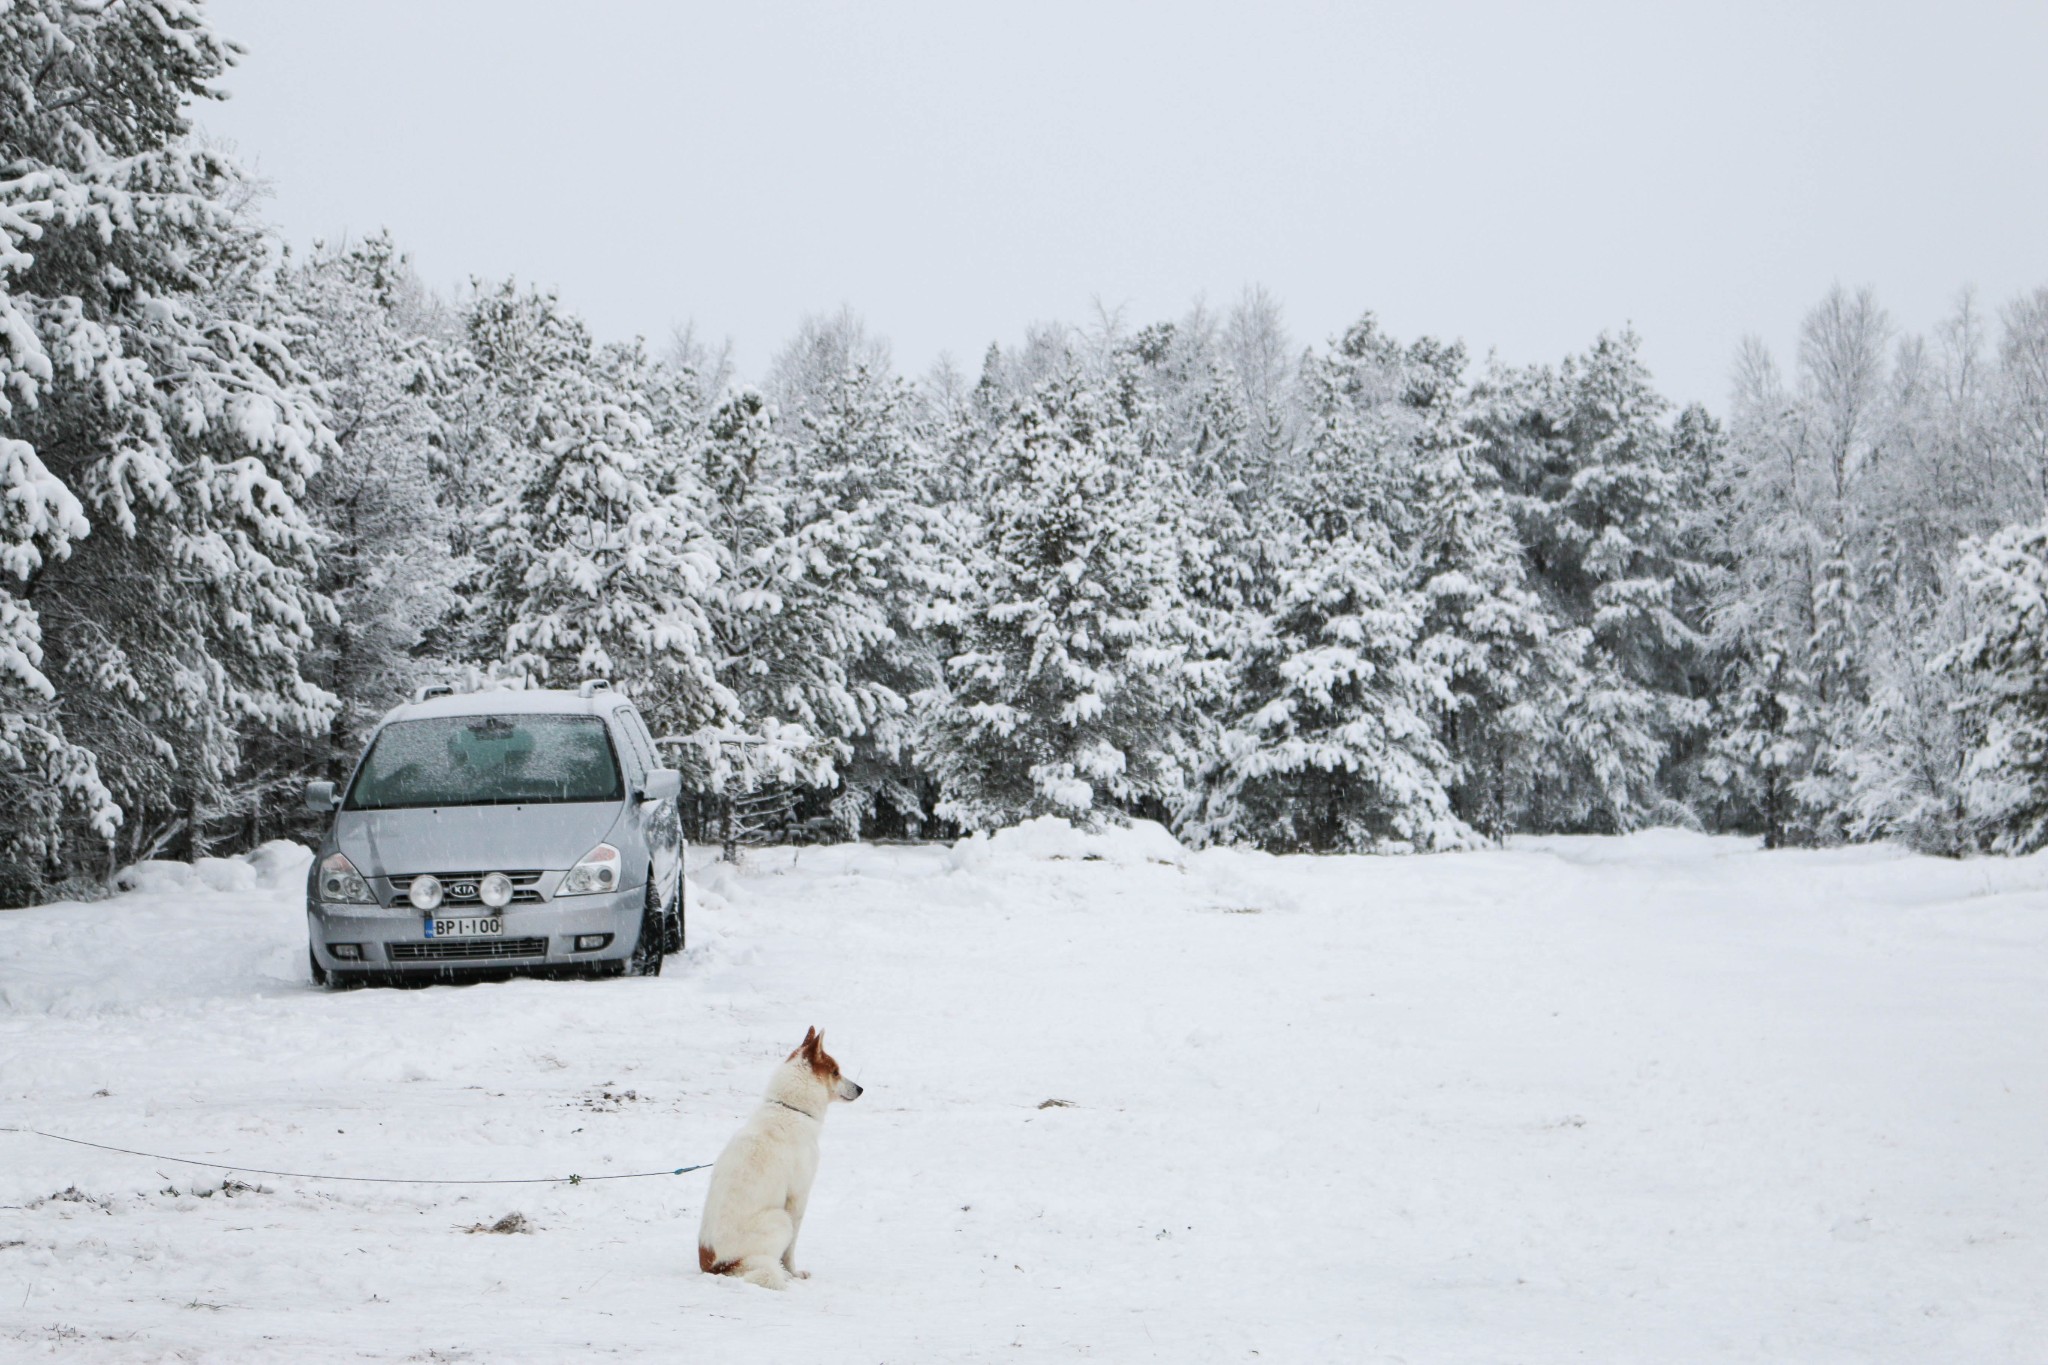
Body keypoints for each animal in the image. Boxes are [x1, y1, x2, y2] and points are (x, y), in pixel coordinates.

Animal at [696, 1023, 856, 1293]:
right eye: (835, 1072)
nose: (860, 1089)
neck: (789, 1109)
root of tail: (716, 1265)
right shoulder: (798, 1197)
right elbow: (790, 1251)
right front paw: (793, 1273)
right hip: (780, 1219)